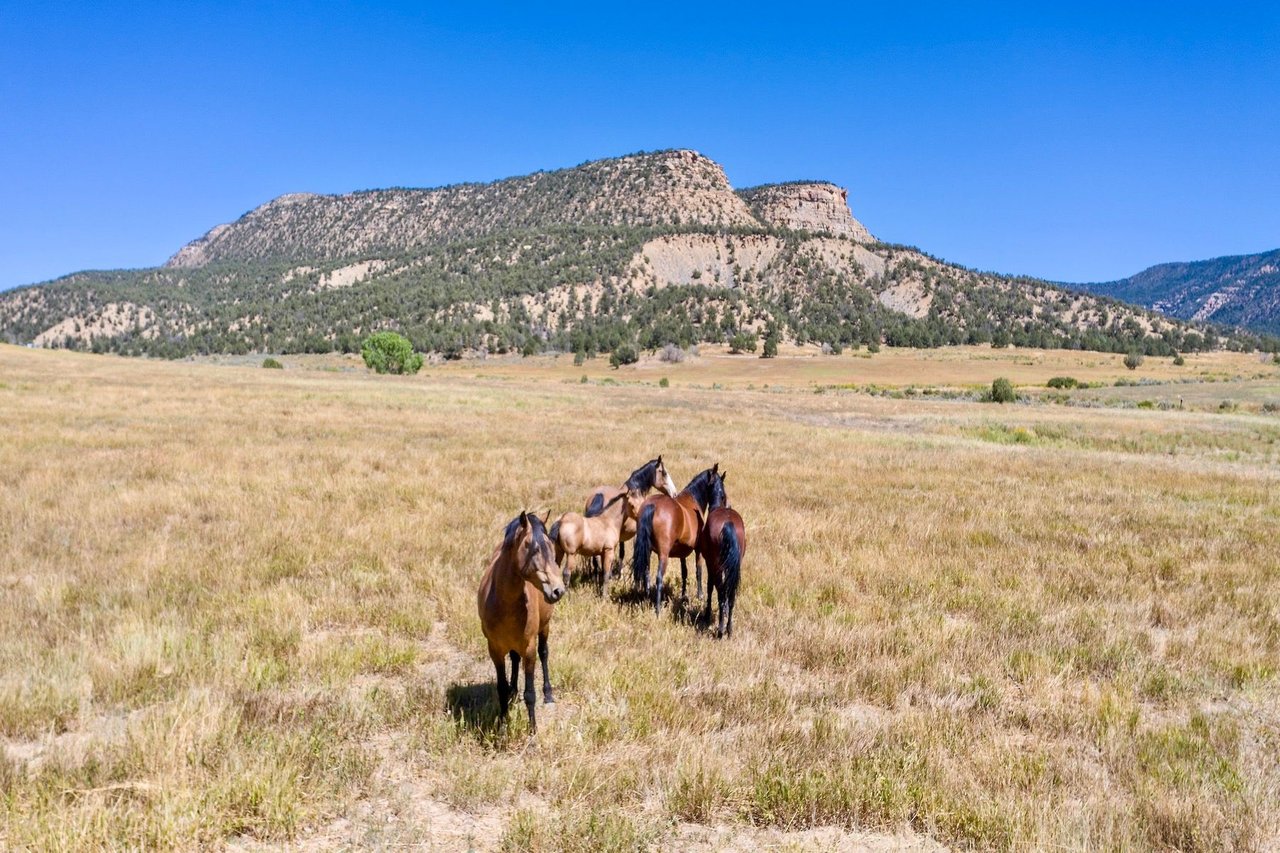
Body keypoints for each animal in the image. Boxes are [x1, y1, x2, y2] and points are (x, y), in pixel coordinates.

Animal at [476, 507, 565, 732]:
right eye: (534, 549)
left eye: (552, 548)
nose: (558, 590)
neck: (504, 601)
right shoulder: (495, 649)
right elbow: (501, 688)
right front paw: (502, 724)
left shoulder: (529, 649)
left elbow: (530, 693)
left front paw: (533, 732)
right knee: (515, 659)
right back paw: (513, 691)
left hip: (545, 628)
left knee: (544, 653)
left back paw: (548, 694)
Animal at [583, 450, 680, 578]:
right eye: (664, 473)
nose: (674, 494)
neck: (635, 492)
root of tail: (597, 496)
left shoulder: (621, 536)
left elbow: (621, 553)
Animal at [634, 466, 727, 612]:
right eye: (722, 493)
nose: (721, 505)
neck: (693, 500)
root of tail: (652, 505)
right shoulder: (698, 550)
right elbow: (698, 571)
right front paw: (700, 595)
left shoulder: (682, 552)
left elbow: (684, 572)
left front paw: (684, 595)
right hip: (663, 554)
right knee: (659, 577)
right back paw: (658, 609)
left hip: (646, 551)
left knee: (646, 574)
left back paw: (646, 597)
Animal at [696, 468, 747, 635]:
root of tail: (728, 523)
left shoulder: (709, 563)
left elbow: (710, 587)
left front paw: (707, 614)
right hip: (734, 568)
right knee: (730, 595)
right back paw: (729, 628)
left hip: (717, 567)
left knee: (720, 591)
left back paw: (720, 629)